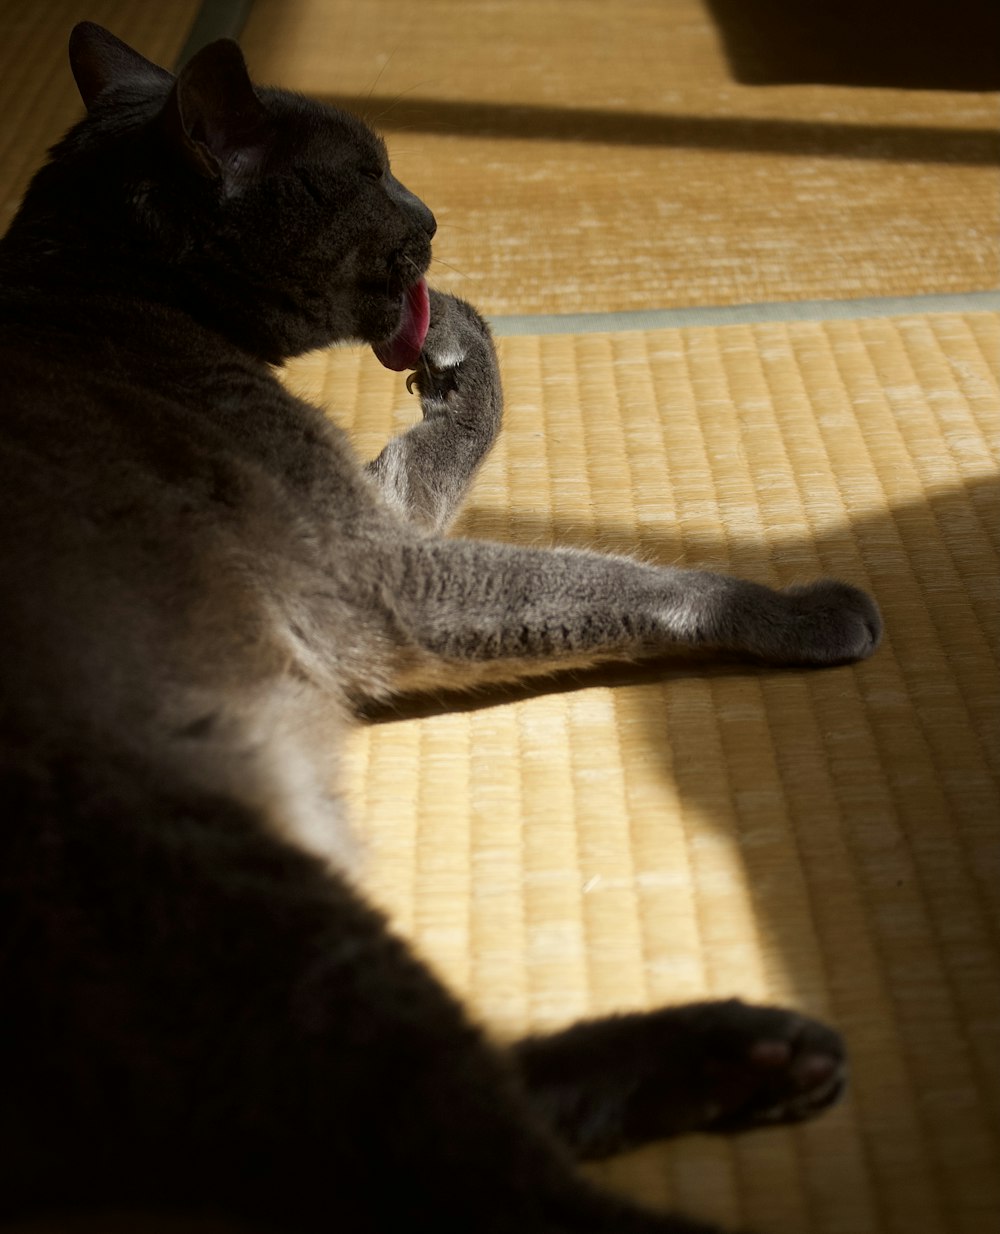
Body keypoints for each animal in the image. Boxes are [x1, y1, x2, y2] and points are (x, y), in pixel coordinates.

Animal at [1, 21, 879, 1234]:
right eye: (369, 171)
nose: (429, 214)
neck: (104, 286)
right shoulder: (377, 576)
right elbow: (596, 574)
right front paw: (800, 609)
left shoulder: (384, 518)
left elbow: (463, 425)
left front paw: (456, 337)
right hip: (252, 918)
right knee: (467, 1165)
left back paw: (758, 1056)